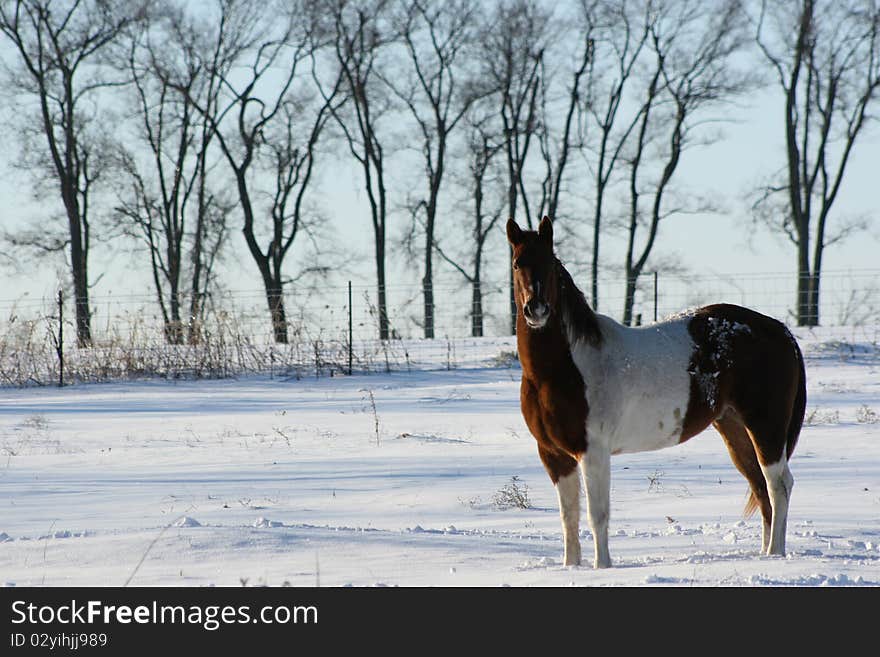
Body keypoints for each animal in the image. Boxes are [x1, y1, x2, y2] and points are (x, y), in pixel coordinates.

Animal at [508, 217, 804, 568]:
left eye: (550, 265)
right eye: (517, 264)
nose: (536, 310)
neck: (561, 369)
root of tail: (781, 331)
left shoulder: (593, 451)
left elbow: (597, 515)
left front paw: (602, 568)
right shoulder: (554, 455)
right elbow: (569, 517)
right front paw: (571, 567)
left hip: (766, 428)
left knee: (778, 486)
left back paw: (776, 554)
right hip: (735, 428)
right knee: (760, 488)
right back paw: (764, 554)